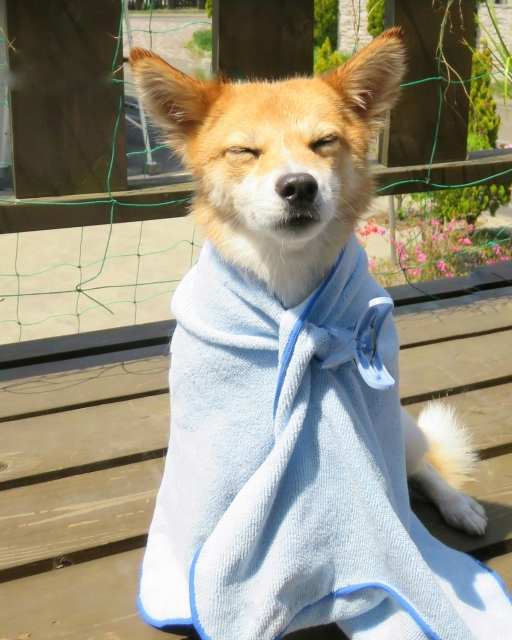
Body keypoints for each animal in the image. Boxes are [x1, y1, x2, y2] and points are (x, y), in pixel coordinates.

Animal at [128, 29, 509, 639]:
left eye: (325, 142)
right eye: (245, 152)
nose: (298, 186)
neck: (289, 285)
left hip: (400, 428)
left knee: (420, 468)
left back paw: (458, 504)